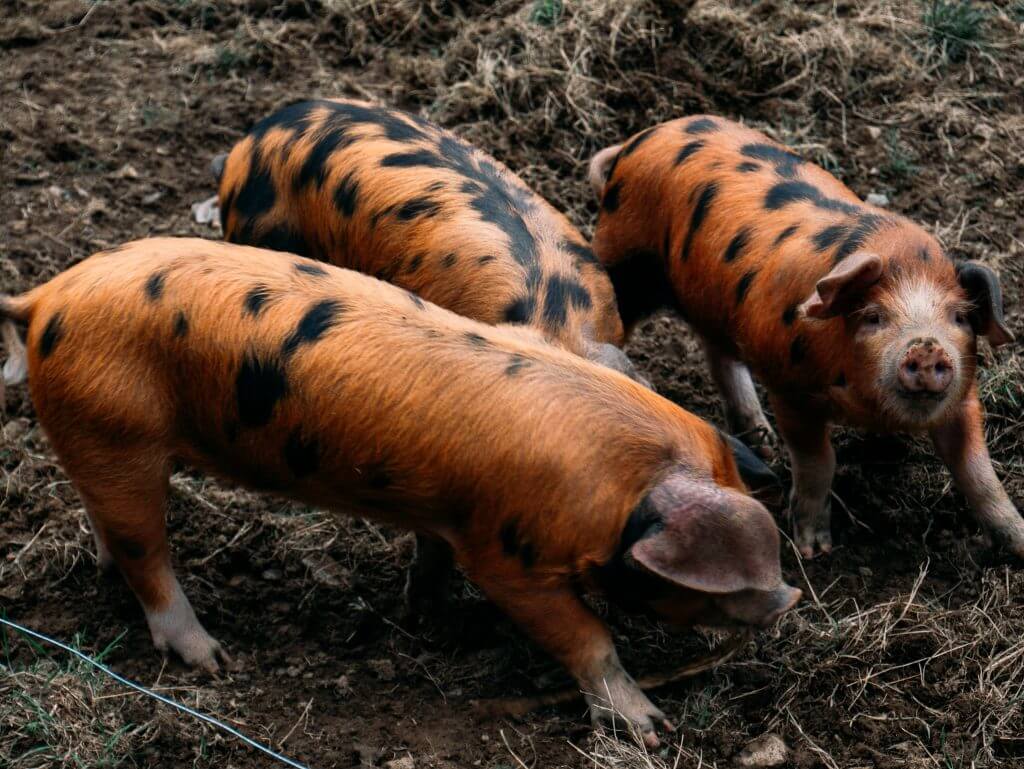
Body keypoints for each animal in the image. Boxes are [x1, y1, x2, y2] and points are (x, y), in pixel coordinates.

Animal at [0, 238, 800, 746]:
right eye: (710, 585)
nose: (789, 599)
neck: (622, 492)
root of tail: (44, 298)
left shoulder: (451, 515)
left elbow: (431, 555)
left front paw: (426, 615)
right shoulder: (508, 560)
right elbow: (588, 639)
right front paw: (650, 729)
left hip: (100, 436)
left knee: (108, 522)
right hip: (118, 430)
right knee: (148, 554)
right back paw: (214, 659)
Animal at [587, 115, 1023, 560]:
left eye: (959, 317)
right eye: (873, 317)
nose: (927, 346)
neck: (871, 409)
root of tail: (639, 140)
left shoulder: (963, 396)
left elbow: (978, 473)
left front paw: (1018, 541)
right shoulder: (789, 388)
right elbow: (818, 460)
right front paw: (814, 549)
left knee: (718, 353)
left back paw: (762, 441)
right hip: (626, 262)